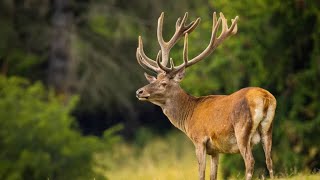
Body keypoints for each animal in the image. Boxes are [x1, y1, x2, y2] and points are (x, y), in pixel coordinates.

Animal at [134, 11, 276, 180]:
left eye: (163, 83)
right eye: (154, 79)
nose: (139, 91)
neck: (188, 116)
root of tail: (265, 98)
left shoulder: (199, 139)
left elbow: (201, 174)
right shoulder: (215, 150)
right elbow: (213, 175)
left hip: (242, 129)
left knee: (250, 161)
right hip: (267, 129)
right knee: (270, 162)